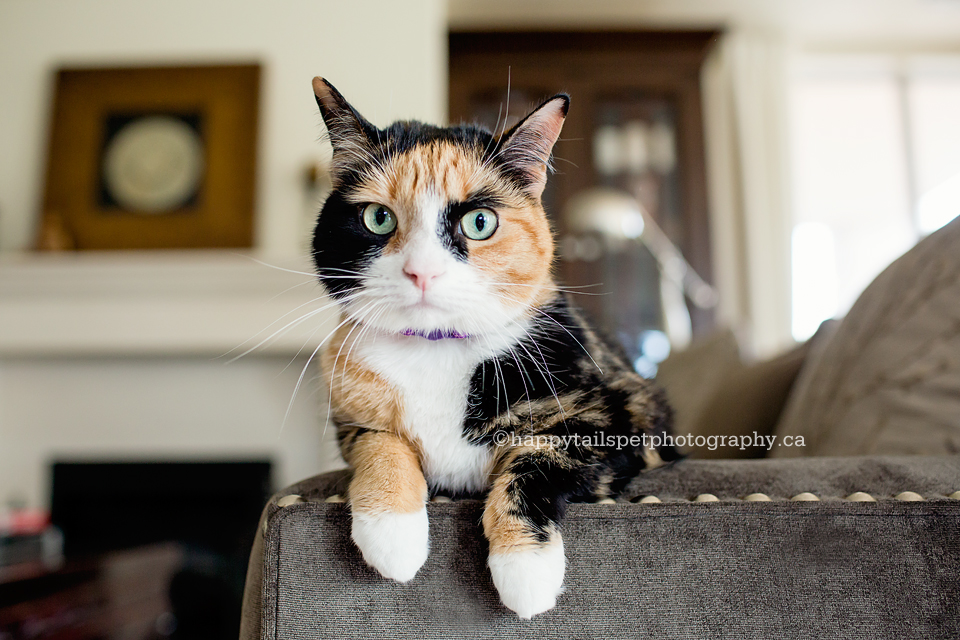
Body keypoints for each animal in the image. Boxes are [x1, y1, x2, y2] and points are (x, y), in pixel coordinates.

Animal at [312, 76, 680, 620]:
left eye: (479, 222)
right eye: (377, 218)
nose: (422, 271)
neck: (437, 350)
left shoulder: (626, 414)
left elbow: (537, 459)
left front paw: (525, 570)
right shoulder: (350, 413)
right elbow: (379, 442)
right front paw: (391, 535)